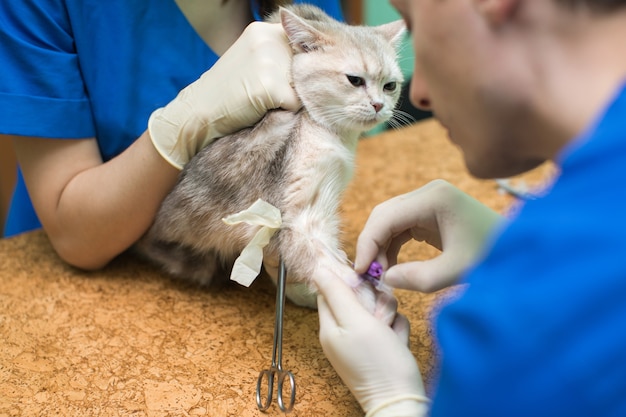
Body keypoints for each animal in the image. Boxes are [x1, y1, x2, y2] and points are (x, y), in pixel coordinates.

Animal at [134, 4, 404, 308]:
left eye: (390, 86)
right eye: (355, 80)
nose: (379, 105)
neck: (325, 129)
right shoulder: (292, 219)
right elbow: (325, 265)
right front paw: (362, 304)